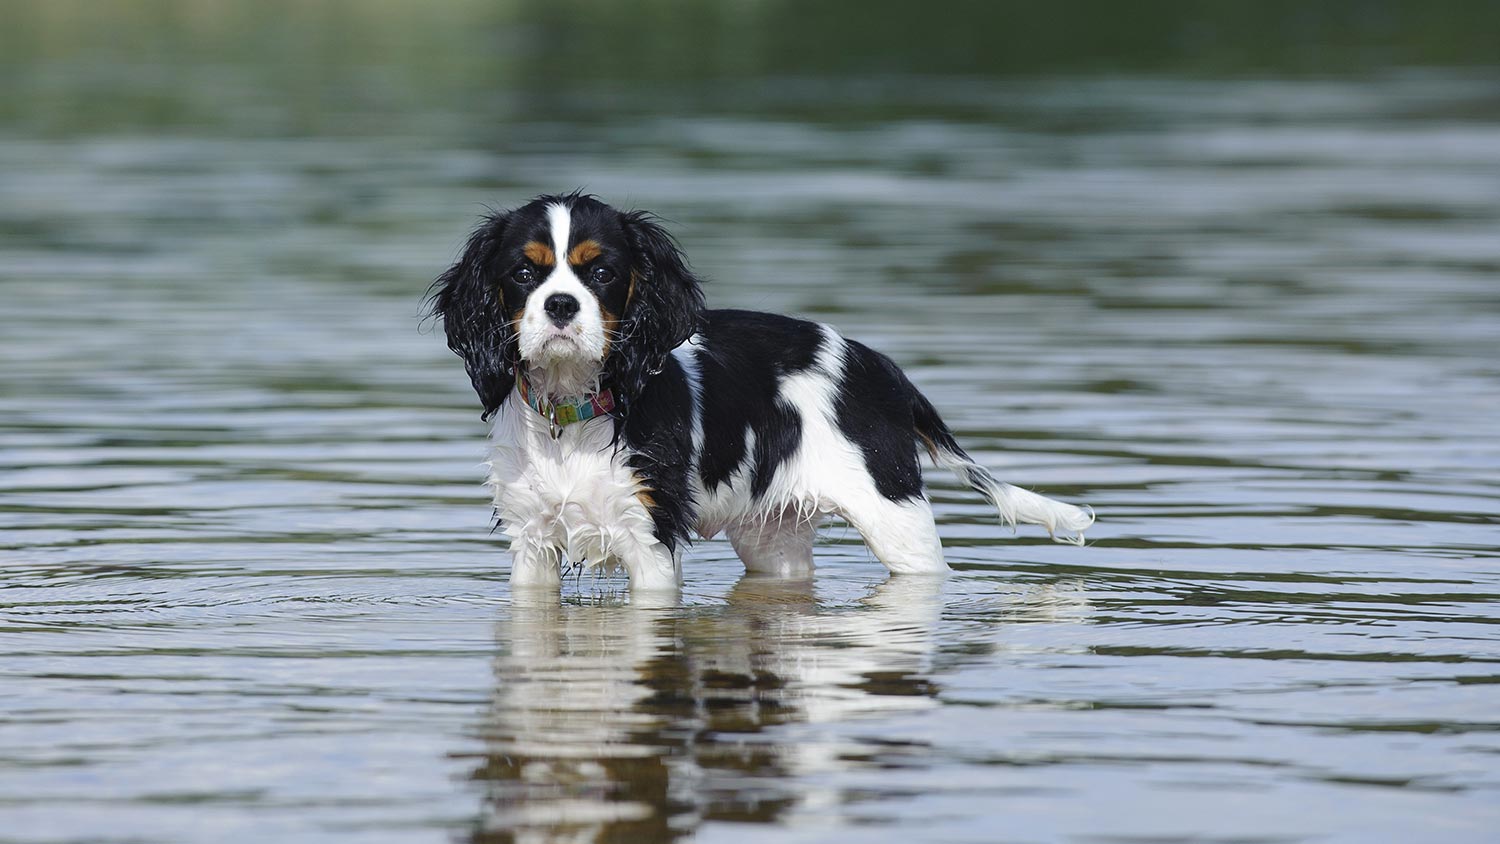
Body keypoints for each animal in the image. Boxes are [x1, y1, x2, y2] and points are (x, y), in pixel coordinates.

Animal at [429, 191, 1098, 590]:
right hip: (773, 542)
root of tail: (879, 365)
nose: (561, 306)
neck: (574, 411)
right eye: (523, 273)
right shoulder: (531, 545)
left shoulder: (650, 539)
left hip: (899, 523)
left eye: (602, 272)